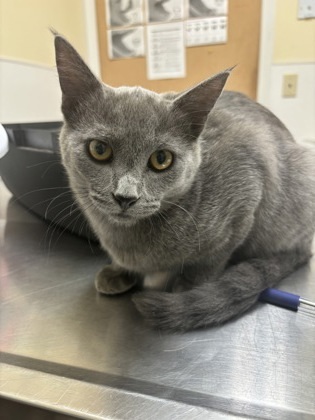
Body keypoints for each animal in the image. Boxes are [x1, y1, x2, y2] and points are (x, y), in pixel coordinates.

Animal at [54, 35, 315, 332]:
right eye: (99, 149)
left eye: (161, 159)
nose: (125, 196)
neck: (125, 240)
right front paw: (118, 271)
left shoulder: (244, 199)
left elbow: (212, 260)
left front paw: (188, 286)